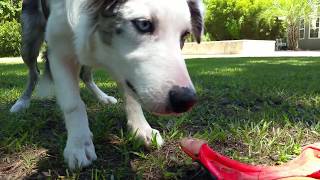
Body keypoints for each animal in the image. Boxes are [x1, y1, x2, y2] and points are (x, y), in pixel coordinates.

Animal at [12, 0, 204, 169]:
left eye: (184, 35)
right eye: (143, 24)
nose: (186, 100)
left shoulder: (121, 61)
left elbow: (131, 96)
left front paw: (141, 128)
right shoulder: (59, 53)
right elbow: (73, 104)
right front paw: (78, 143)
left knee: (85, 74)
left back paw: (103, 97)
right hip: (29, 41)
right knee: (34, 73)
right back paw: (22, 102)